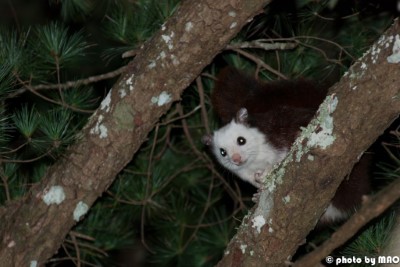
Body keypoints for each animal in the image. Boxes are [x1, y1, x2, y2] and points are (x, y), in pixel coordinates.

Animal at [203, 67, 372, 224]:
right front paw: (258, 193)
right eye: (222, 152)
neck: (255, 161)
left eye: (241, 140)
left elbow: (281, 157)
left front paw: (268, 171)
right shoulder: (245, 173)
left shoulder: (277, 136)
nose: (236, 159)